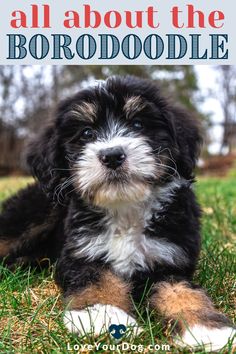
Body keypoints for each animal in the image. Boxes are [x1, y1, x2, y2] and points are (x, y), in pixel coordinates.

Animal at [0, 75, 235, 352]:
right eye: (87, 133)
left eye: (137, 124)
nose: (112, 155)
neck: (124, 207)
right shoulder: (81, 253)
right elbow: (98, 279)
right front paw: (103, 314)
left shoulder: (170, 258)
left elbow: (181, 290)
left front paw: (205, 327)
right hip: (35, 212)